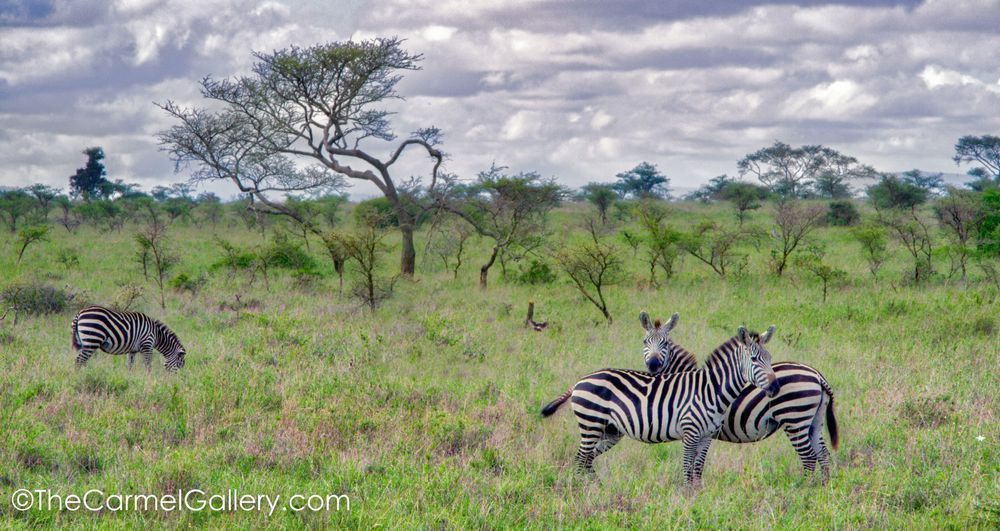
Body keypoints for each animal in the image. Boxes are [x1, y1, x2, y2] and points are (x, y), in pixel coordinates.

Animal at [541, 325, 781, 488]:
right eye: (754, 359)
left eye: (769, 358)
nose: (776, 386)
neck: (711, 390)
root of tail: (580, 380)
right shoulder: (690, 433)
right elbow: (687, 468)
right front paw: (687, 496)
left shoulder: (706, 436)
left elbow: (698, 469)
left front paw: (698, 494)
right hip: (591, 423)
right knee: (581, 458)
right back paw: (581, 489)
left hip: (610, 431)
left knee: (587, 459)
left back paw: (597, 487)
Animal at [638, 312, 838, 480]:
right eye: (645, 341)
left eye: (665, 343)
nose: (653, 365)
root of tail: (817, 375)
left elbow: (693, 463)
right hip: (813, 421)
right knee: (823, 453)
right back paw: (823, 486)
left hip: (794, 418)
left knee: (808, 457)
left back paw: (804, 487)